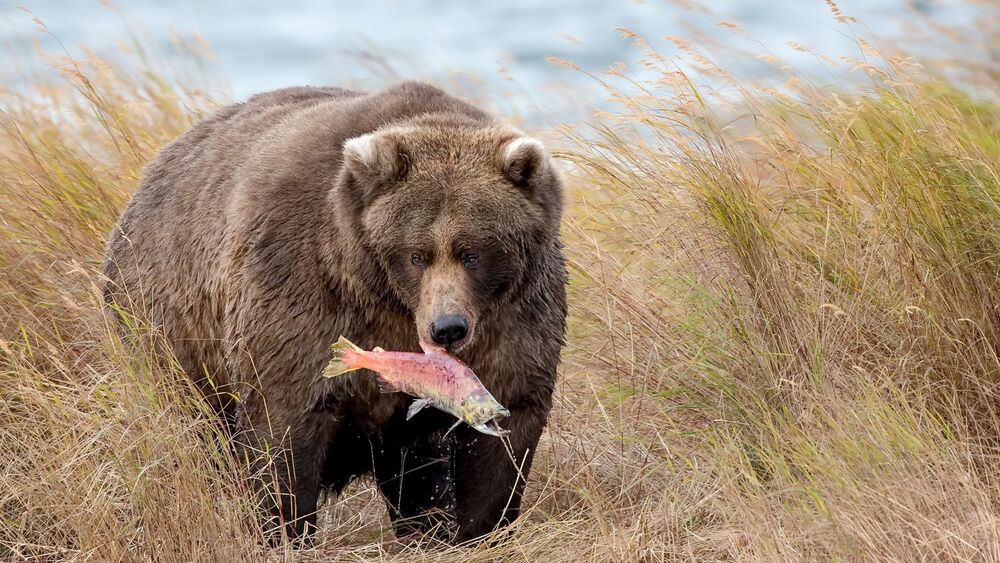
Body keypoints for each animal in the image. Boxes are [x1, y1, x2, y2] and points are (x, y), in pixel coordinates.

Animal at [101, 81, 568, 543]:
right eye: (416, 254)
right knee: (192, 428)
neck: (390, 303)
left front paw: (481, 528)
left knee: (415, 466)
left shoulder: (514, 319)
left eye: (473, 253)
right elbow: (283, 426)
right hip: (164, 323)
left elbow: (507, 429)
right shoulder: (303, 287)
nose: (447, 328)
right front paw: (284, 530)